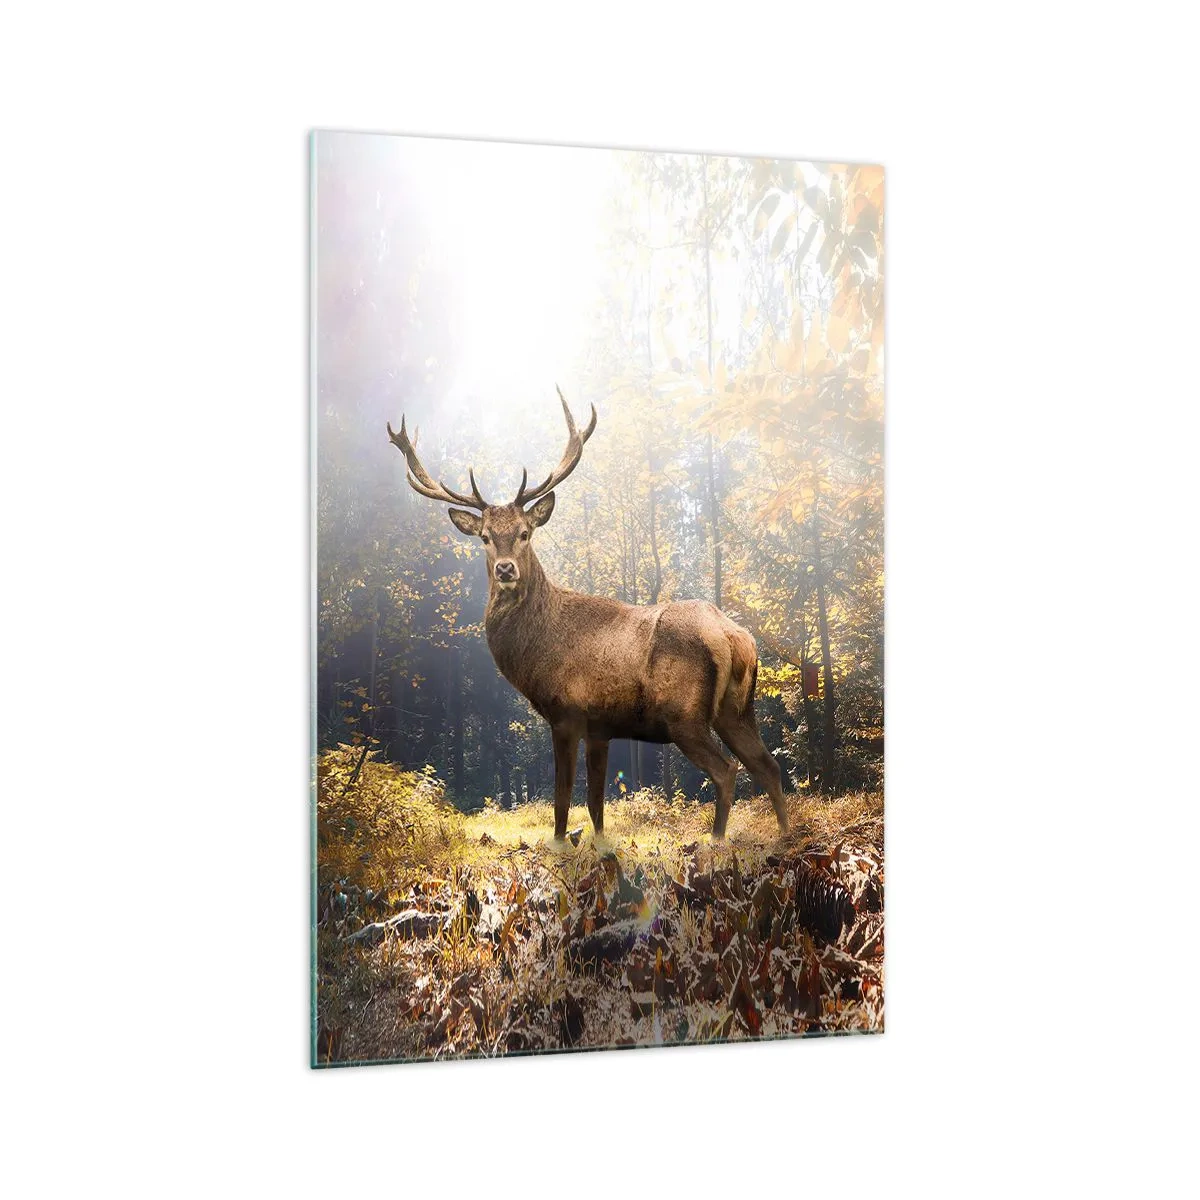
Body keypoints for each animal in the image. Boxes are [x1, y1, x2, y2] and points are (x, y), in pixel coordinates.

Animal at [387, 389, 790, 842]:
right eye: (486, 537)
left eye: (525, 533)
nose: (505, 569)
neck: (535, 652)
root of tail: (734, 636)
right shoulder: (601, 726)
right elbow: (596, 802)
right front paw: (599, 845)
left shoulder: (566, 712)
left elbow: (563, 799)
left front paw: (561, 845)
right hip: (736, 710)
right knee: (769, 765)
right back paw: (785, 834)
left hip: (684, 714)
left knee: (727, 770)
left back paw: (716, 841)